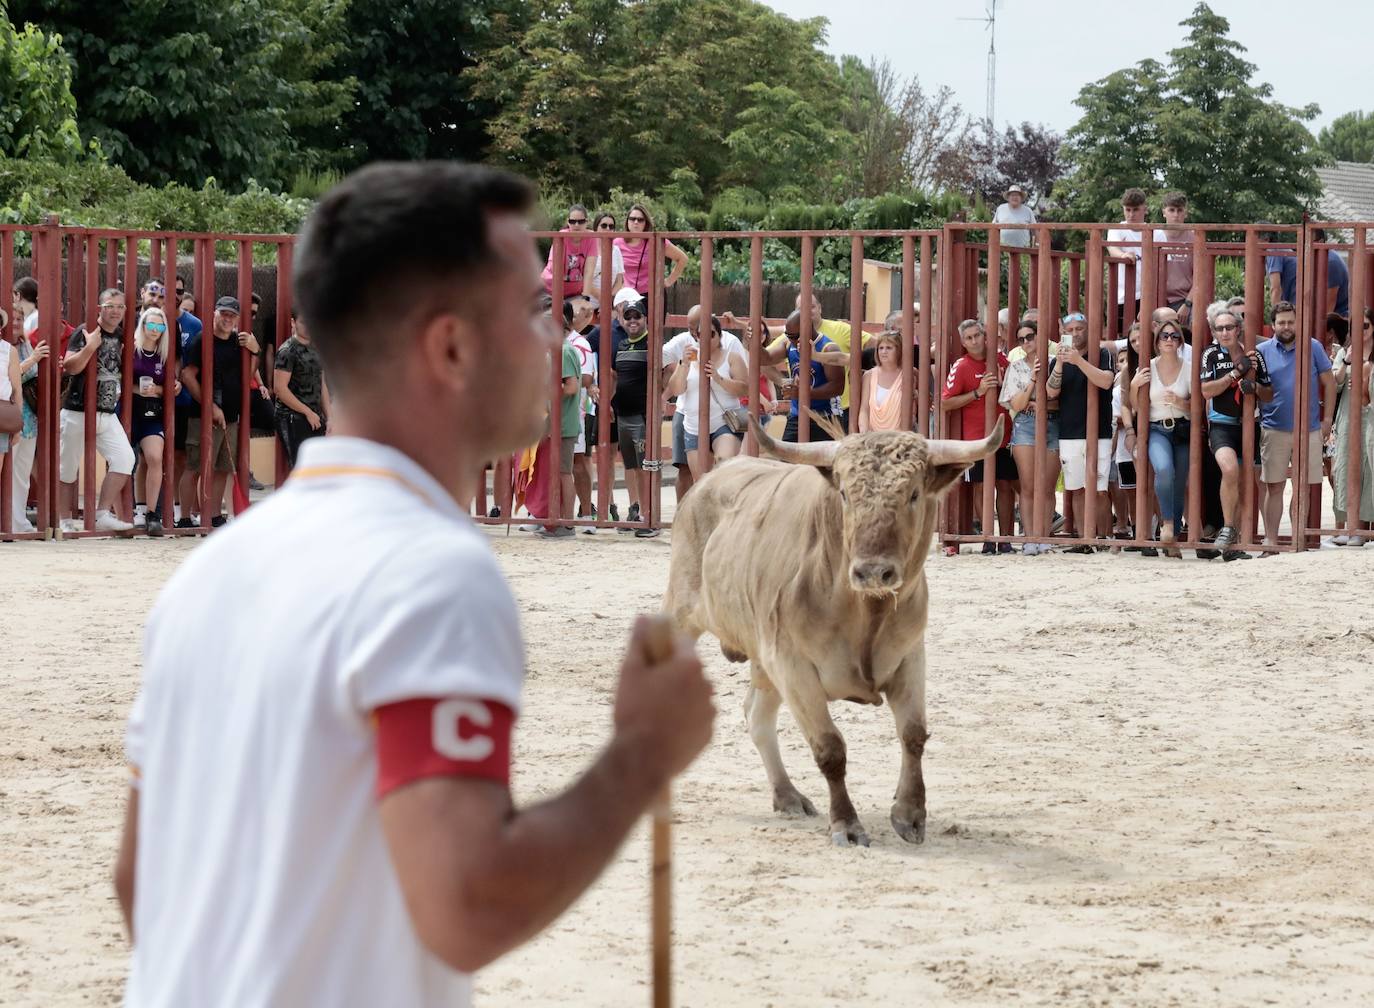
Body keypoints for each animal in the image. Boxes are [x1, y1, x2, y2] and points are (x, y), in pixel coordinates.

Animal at [662, 414, 1000, 851]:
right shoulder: (793, 666)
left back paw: (787, 795)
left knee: (757, 716)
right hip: (682, 616)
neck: (863, 613)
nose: (873, 571)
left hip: (762, 656)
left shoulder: (910, 657)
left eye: (912, 494)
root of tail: (705, 483)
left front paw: (909, 815)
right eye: (843, 494)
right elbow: (830, 749)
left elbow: (912, 735)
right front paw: (847, 824)